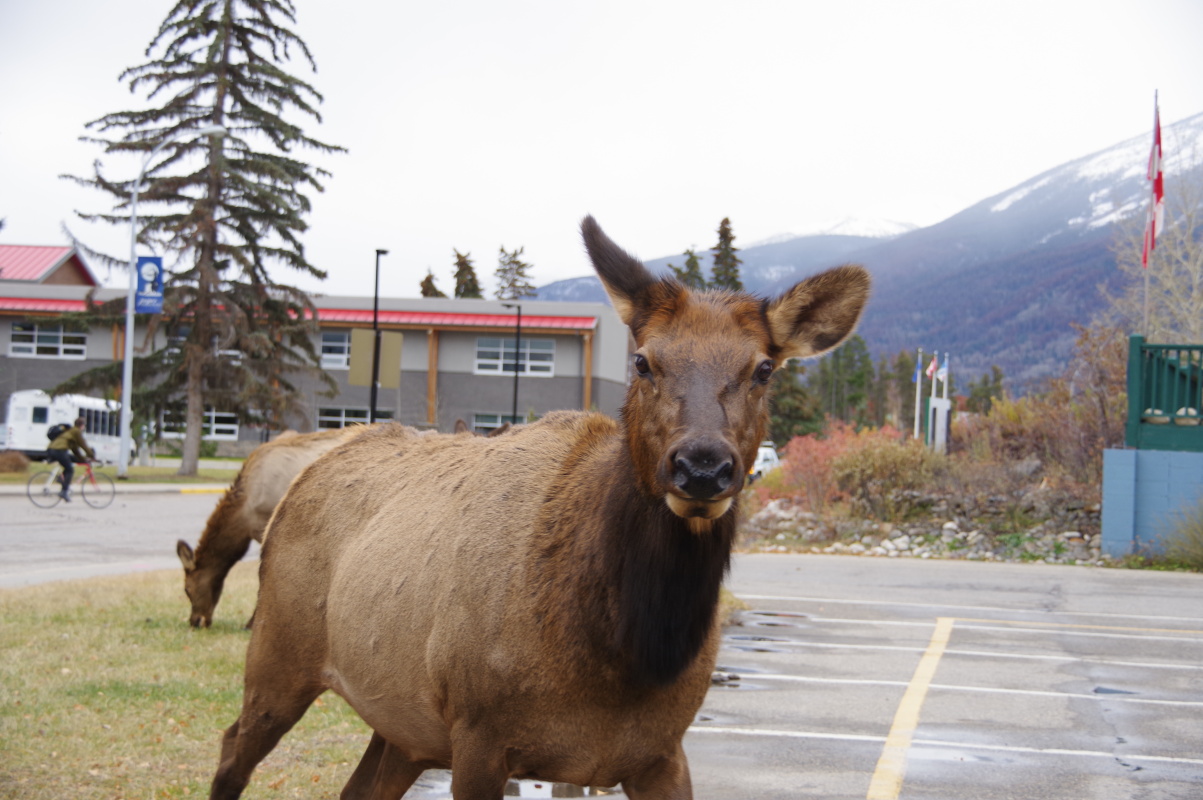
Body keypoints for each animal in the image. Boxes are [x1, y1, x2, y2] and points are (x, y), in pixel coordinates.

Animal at [208, 216, 870, 799]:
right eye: (643, 361)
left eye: (764, 368)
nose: (702, 465)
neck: (618, 659)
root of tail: (306, 475)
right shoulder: (479, 736)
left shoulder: (659, 753)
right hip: (278, 655)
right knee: (231, 749)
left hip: (405, 726)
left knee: (356, 788)